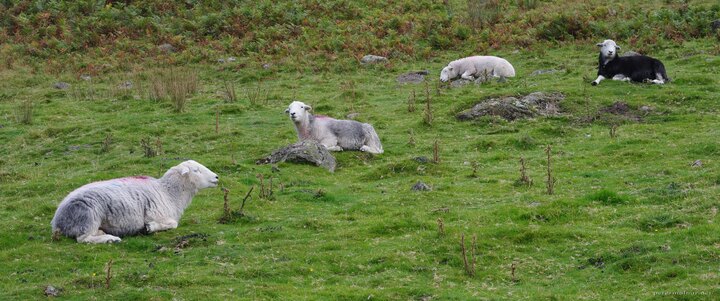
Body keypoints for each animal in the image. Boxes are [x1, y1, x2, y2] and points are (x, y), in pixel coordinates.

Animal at [51, 161, 217, 243]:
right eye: (196, 170)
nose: (216, 177)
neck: (169, 193)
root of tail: (57, 221)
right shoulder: (156, 214)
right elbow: (173, 224)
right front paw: (149, 228)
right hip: (88, 216)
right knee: (83, 239)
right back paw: (111, 239)